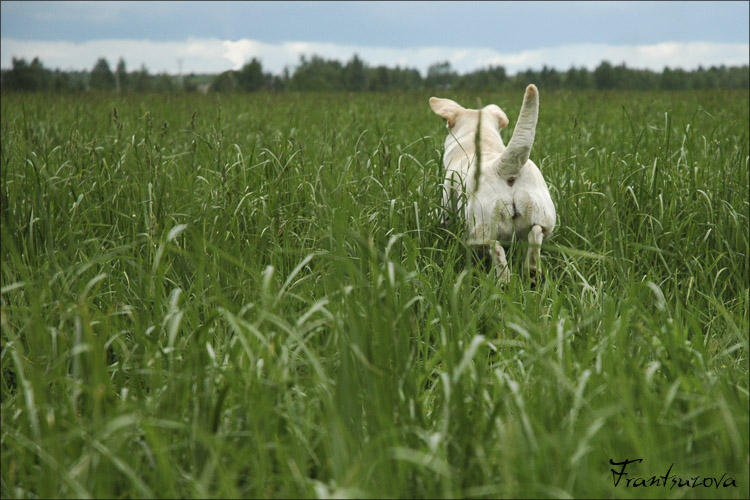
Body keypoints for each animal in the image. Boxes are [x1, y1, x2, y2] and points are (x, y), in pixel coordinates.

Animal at [428, 86, 560, 286]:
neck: (482, 145)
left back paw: (504, 283)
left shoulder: (446, 204)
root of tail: (503, 166)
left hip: (480, 227)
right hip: (543, 217)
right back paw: (531, 272)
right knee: (535, 234)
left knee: (496, 249)